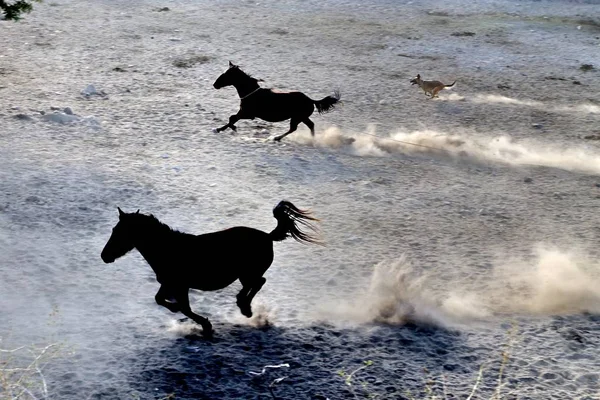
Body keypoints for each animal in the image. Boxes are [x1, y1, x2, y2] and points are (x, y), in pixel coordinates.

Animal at [101, 202, 322, 336]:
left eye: (121, 232)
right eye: (114, 230)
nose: (104, 256)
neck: (169, 249)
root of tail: (267, 236)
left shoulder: (180, 285)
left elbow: (185, 308)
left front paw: (206, 326)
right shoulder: (169, 284)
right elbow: (160, 299)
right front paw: (176, 309)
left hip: (247, 273)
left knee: (258, 283)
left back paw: (244, 308)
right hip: (245, 274)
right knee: (257, 283)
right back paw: (245, 308)